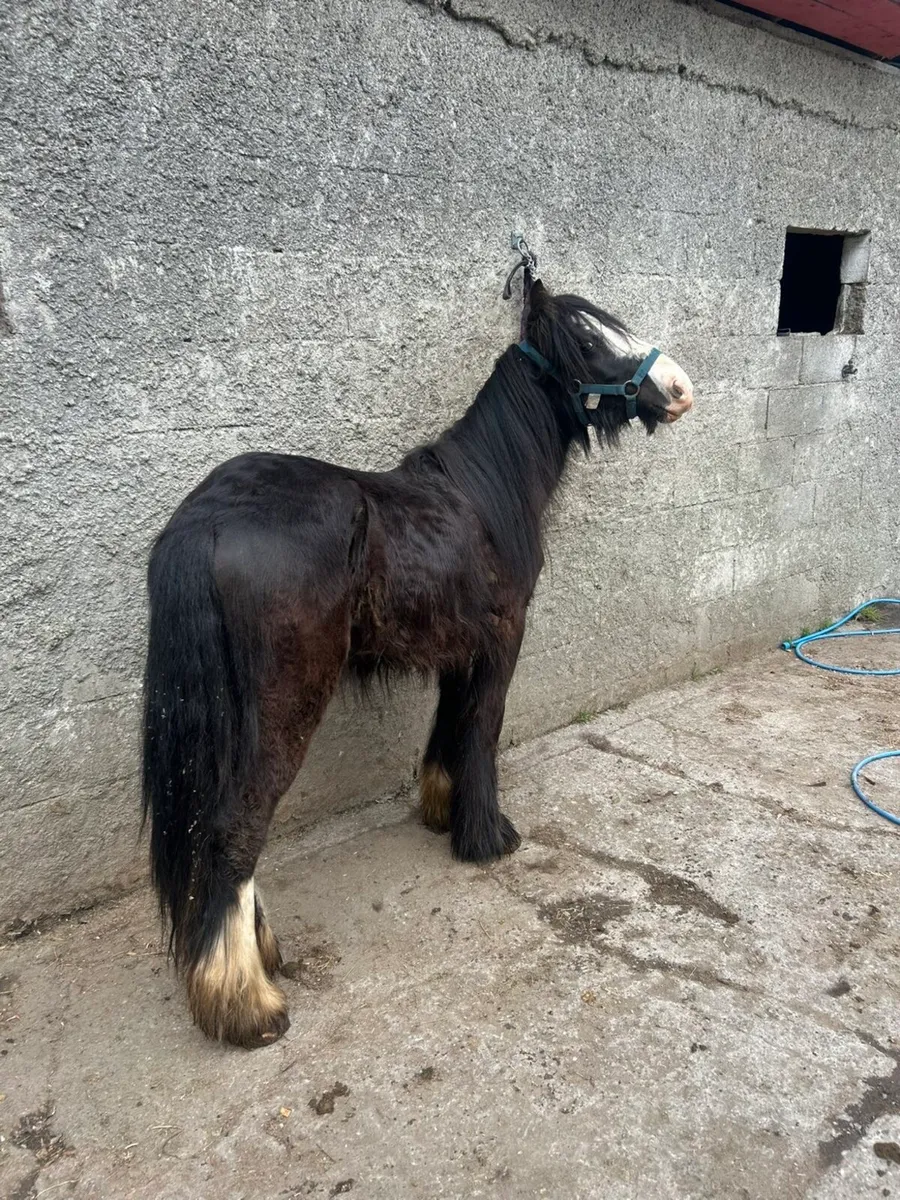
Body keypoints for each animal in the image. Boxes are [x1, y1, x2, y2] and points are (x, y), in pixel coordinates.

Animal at [141, 262, 694, 1048]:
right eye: (588, 340)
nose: (678, 388)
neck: (482, 495)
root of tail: (206, 519)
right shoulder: (502, 640)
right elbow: (484, 729)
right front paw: (487, 836)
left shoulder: (460, 649)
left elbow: (451, 726)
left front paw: (442, 806)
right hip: (285, 702)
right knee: (233, 826)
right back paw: (245, 1000)